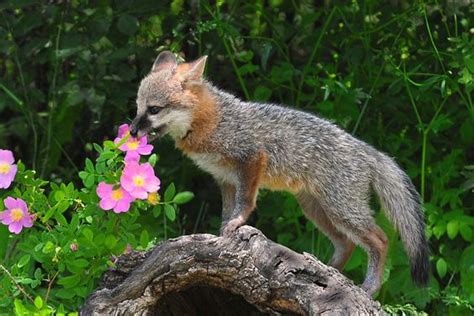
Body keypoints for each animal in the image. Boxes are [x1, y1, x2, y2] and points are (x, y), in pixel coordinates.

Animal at [130, 50, 430, 296]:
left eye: (154, 110)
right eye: (138, 108)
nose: (131, 131)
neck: (212, 121)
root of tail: (366, 149)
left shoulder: (251, 158)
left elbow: (245, 203)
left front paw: (237, 223)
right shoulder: (225, 179)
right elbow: (226, 212)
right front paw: (220, 237)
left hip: (341, 210)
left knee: (380, 240)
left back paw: (369, 287)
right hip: (316, 209)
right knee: (346, 244)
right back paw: (327, 274)